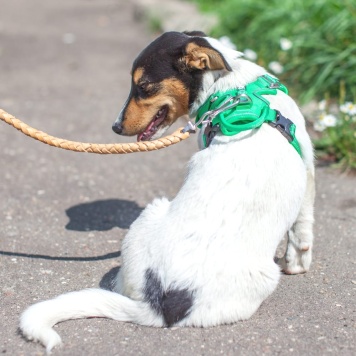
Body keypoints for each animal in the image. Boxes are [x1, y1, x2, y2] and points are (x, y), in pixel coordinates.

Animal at [19, 31, 314, 354]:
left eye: (143, 86)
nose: (115, 126)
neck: (231, 88)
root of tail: (158, 305)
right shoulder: (308, 167)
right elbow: (303, 229)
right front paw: (298, 264)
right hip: (155, 210)